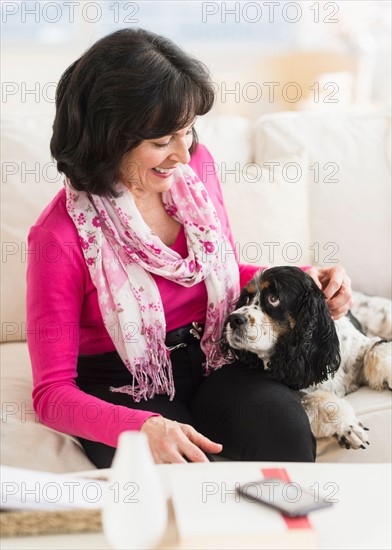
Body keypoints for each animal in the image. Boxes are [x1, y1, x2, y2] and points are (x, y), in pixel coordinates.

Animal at [225, 268, 390, 452]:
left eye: (273, 298)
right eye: (246, 298)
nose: (233, 319)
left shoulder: (360, 347)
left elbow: (376, 347)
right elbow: (315, 400)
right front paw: (348, 427)